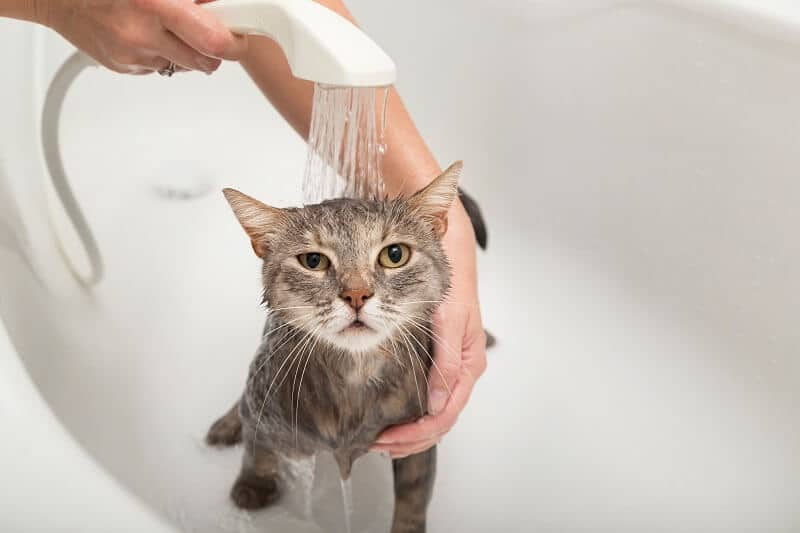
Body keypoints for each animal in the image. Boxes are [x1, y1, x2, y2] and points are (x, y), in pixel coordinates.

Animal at [206, 163, 466, 532]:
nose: (356, 295)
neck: (353, 381)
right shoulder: (268, 416)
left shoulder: (419, 442)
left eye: (394, 255)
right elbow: (257, 452)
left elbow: (413, 501)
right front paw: (252, 485)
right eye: (313, 261)